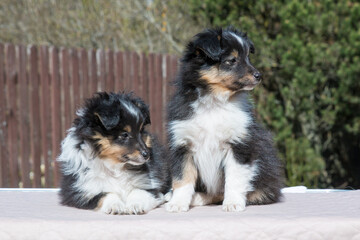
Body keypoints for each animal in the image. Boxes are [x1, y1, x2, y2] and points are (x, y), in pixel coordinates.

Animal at [165, 27, 284, 213]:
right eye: (232, 60)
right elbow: (182, 178)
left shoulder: (239, 145)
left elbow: (234, 178)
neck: (214, 102)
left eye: (248, 57)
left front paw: (233, 203)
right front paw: (177, 203)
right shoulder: (182, 144)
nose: (259, 75)